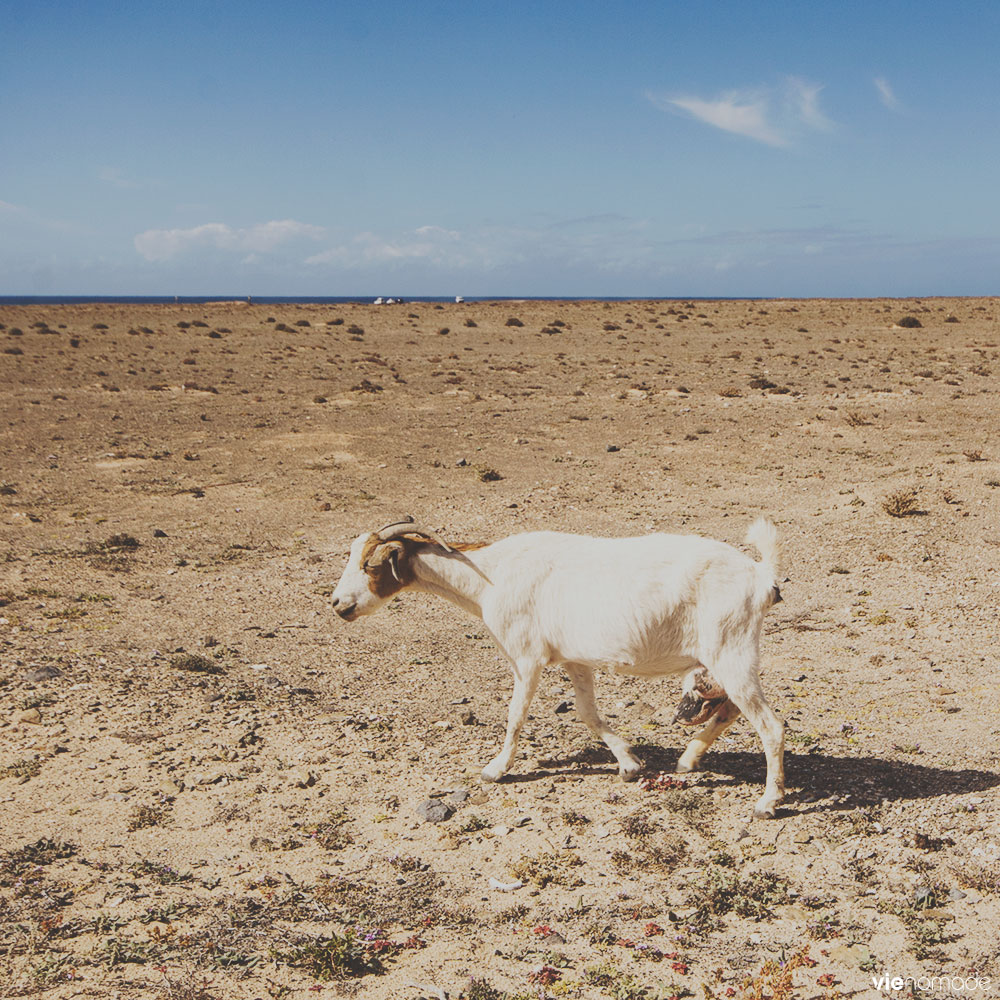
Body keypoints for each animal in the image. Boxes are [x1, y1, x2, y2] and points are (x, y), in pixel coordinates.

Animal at [332, 520, 784, 816]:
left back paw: (767, 802)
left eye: (371, 564)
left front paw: (495, 770)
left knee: (770, 725)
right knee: (731, 709)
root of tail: (761, 576)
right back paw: (688, 761)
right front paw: (629, 764)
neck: (489, 576)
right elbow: (587, 713)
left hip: (731, 649)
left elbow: (515, 715)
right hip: (725, 655)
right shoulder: (574, 659)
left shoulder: (526, 657)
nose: (338, 605)